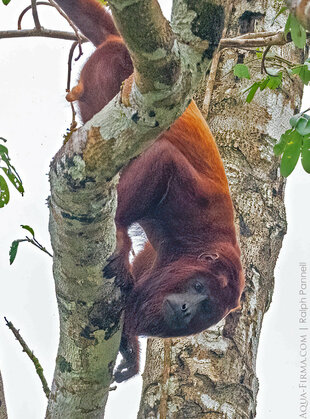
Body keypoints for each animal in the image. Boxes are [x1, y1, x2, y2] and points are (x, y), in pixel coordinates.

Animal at [55, 0, 245, 384]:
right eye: (199, 288)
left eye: (206, 307)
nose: (186, 309)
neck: (196, 247)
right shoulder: (196, 210)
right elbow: (162, 158)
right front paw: (119, 233)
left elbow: (146, 268)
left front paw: (130, 337)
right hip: (111, 74)